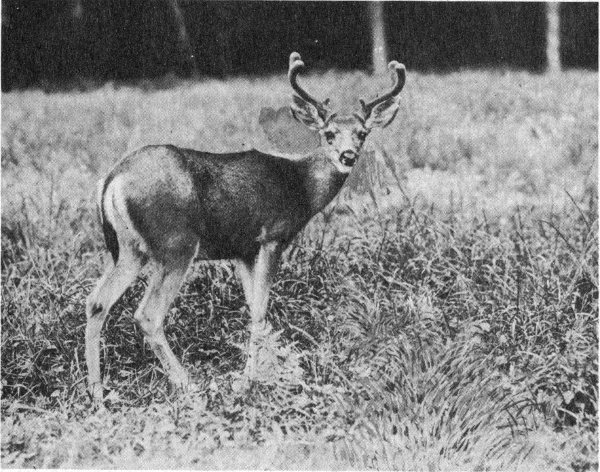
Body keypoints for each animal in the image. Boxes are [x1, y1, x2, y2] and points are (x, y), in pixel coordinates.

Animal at [85, 52, 406, 403]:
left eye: (362, 133)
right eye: (329, 133)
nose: (348, 156)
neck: (302, 187)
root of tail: (113, 180)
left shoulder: (244, 251)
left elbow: (254, 309)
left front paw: (259, 373)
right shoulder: (271, 237)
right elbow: (260, 311)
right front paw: (251, 380)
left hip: (129, 250)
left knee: (96, 302)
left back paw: (97, 394)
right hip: (175, 244)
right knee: (147, 314)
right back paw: (188, 386)